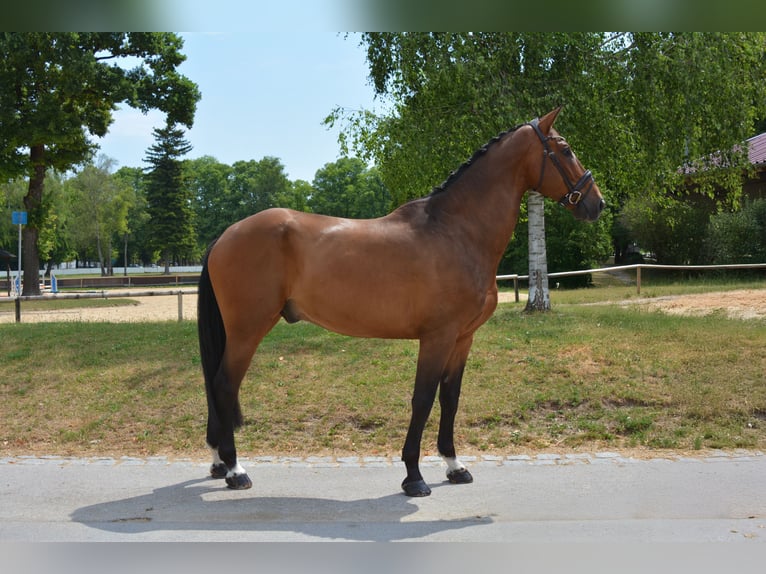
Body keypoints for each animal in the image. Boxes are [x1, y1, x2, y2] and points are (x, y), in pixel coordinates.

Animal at [197, 107, 605, 497]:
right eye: (566, 150)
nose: (596, 203)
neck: (455, 232)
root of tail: (225, 235)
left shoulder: (462, 338)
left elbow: (450, 398)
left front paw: (455, 466)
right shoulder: (437, 337)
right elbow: (422, 399)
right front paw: (414, 476)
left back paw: (219, 464)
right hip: (247, 330)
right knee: (224, 385)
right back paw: (235, 470)